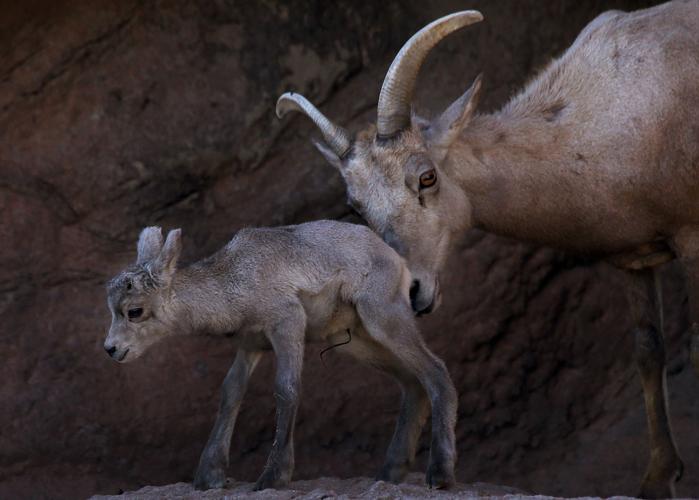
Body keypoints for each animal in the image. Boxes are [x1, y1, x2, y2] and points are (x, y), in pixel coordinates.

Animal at [103, 220, 457, 491]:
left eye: (134, 311)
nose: (111, 349)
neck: (235, 281)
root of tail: (399, 263)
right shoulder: (250, 345)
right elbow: (230, 394)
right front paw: (208, 477)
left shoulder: (287, 323)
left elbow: (286, 389)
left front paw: (273, 477)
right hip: (357, 340)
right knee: (412, 382)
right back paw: (390, 472)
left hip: (383, 317)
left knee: (436, 371)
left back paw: (439, 474)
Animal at [275, 2, 699, 497]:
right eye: (355, 206)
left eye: (427, 177)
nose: (412, 291)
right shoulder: (633, 259)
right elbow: (648, 350)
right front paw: (657, 479)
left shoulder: (691, 238)